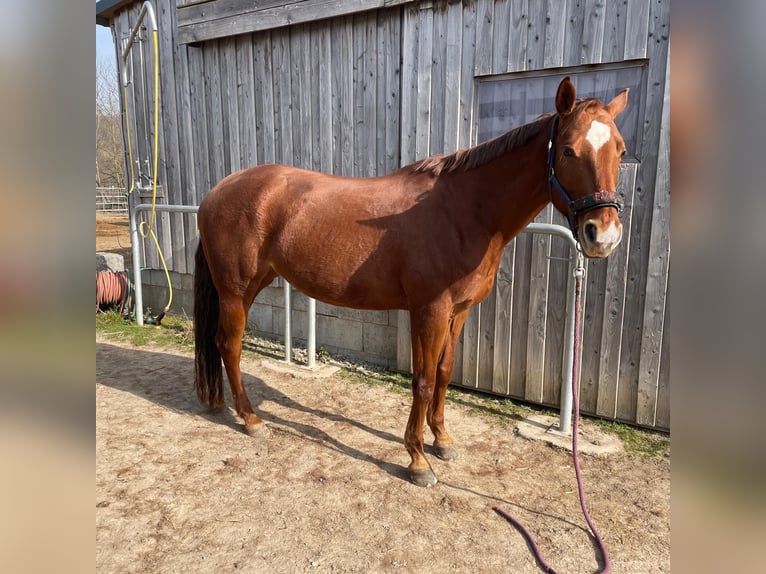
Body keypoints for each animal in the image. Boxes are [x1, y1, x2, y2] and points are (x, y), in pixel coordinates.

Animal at [194, 77, 629, 487]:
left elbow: (444, 372)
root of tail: (217, 191)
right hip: (235, 290)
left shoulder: (457, 311)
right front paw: (418, 459)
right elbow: (422, 380)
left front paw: (442, 440)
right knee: (229, 345)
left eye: (621, 151)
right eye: (568, 150)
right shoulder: (428, 312)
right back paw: (251, 419)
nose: (603, 235)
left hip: (255, 283)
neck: (466, 211)